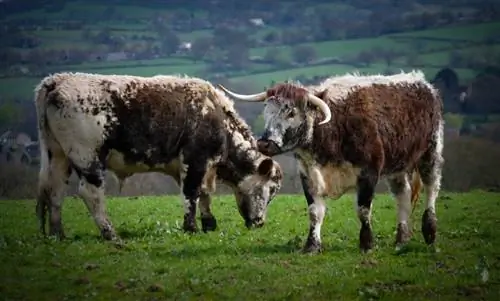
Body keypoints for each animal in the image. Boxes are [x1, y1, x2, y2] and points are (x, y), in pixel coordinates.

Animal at [34, 72, 286, 241]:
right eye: (271, 189)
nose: (260, 222)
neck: (216, 116)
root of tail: (56, 81)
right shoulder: (194, 161)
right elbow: (191, 194)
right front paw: (191, 227)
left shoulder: (202, 167)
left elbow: (204, 194)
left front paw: (208, 223)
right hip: (88, 157)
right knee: (90, 193)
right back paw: (111, 234)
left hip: (57, 155)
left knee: (54, 191)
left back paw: (57, 234)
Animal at [217, 70, 444, 253]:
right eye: (266, 111)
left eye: (291, 112)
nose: (264, 143)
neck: (333, 128)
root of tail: (423, 83)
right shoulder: (309, 176)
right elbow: (314, 212)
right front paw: (311, 246)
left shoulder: (369, 173)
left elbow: (363, 210)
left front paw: (367, 244)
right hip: (397, 165)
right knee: (403, 195)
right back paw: (401, 240)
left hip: (430, 152)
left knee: (432, 187)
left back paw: (430, 232)